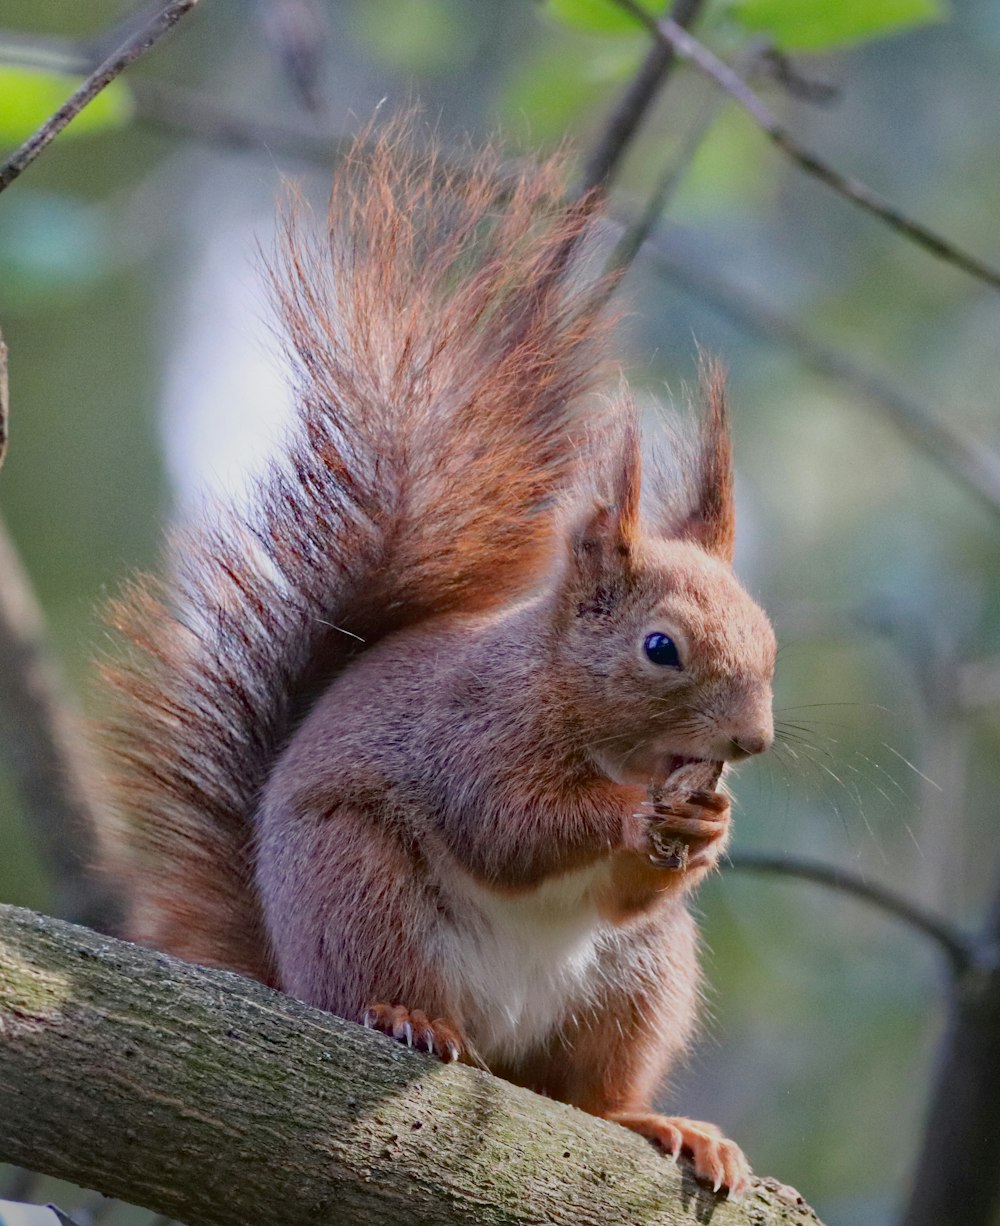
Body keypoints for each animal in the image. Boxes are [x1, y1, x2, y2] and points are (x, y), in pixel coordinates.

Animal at [97, 121, 779, 1196]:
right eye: (660, 648)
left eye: (768, 640)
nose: (750, 741)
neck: (570, 702)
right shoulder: (471, 733)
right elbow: (503, 826)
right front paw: (632, 816)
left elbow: (626, 888)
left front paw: (708, 828)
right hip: (359, 888)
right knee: (385, 987)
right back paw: (410, 1018)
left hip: (640, 981)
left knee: (586, 1093)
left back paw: (658, 1124)